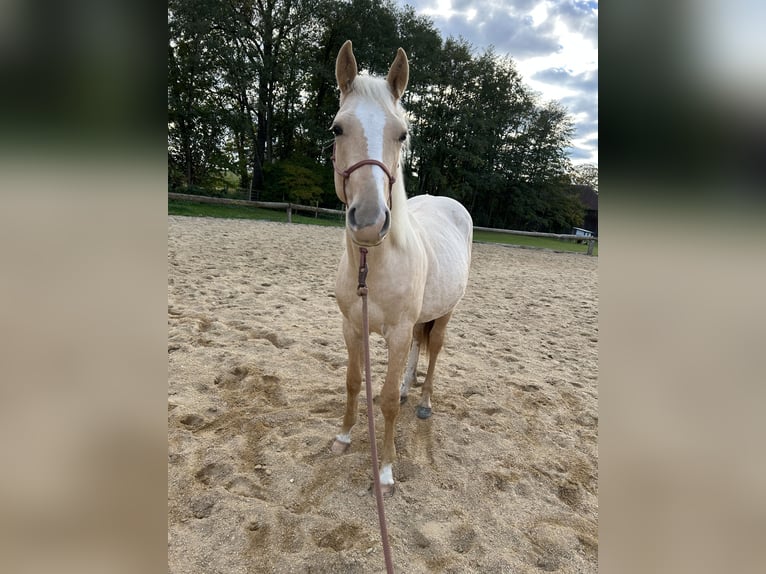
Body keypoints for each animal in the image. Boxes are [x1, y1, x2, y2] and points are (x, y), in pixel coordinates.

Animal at [329, 40, 473, 496]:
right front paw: (343, 437)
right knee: (416, 350)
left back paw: (423, 401)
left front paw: (387, 471)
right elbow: (354, 381)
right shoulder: (352, 326)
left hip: (445, 313)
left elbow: (388, 400)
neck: (373, 266)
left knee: (434, 350)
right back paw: (413, 391)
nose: (369, 222)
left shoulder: (395, 332)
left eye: (402, 134)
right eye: (337, 129)